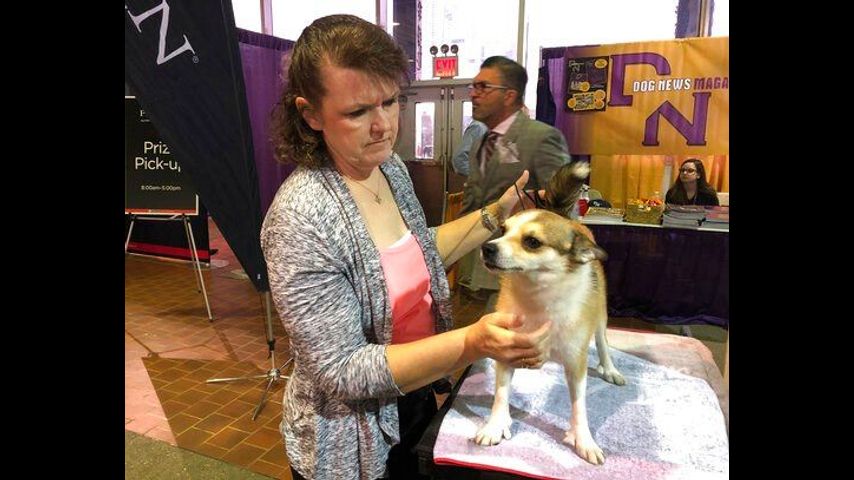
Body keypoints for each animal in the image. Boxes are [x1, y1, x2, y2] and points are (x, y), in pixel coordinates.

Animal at [478, 161, 624, 464]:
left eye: (532, 242)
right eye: (502, 229)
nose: (488, 248)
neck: (538, 295)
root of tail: (568, 218)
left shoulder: (576, 364)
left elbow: (579, 405)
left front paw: (583, 439)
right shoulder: (504, 350)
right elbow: (500, 393)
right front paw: (496, 424)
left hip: (600, 316)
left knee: (603, 342)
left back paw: (610, 368)